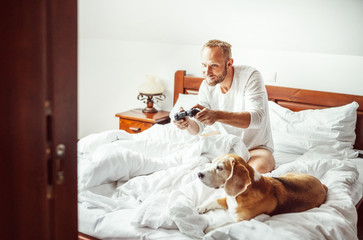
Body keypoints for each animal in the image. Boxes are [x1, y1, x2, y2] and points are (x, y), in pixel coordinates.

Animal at [198, 153, 328, 222]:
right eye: (212, 162)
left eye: (219, 168)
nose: (198, 174)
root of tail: (322, 185)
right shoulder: (228, 200)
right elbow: (214, 200)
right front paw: (202, 207)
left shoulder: (243, 220)